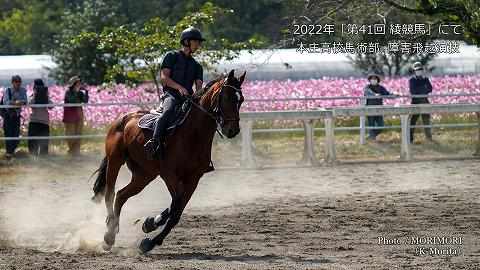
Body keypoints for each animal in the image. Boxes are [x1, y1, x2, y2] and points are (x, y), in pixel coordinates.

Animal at [91, 69, 246, 253]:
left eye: (241, 100)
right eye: (228, 97)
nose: (233, 130)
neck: (193, 135)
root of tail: (123, 118)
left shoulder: (193, 179)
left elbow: (176, 212)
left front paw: (149, 235)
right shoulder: (170, 175)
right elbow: (176, 204)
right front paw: (151, 226)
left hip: (145, 175)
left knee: (121, 195)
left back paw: (114, 232)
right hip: (115, 160)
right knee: (110, 193)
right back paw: (108, 235)